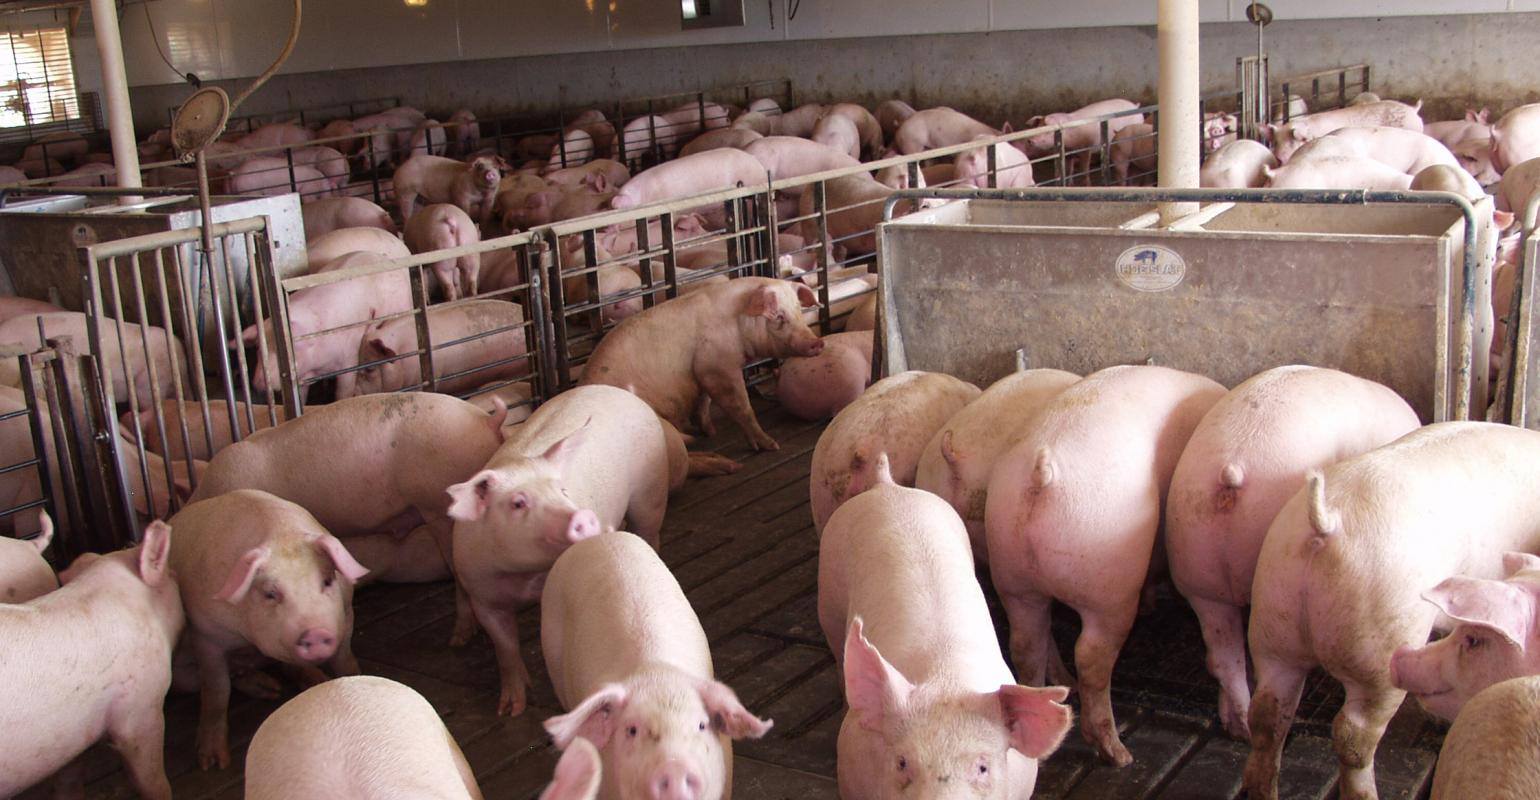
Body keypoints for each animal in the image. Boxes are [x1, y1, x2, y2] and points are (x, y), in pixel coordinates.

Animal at [0, 521, 181, 799]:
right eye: (171, 576)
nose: (177, 574)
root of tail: (29, 544)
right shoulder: (141, 706)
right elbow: (151, 779)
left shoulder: (68, 740)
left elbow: (69, 778)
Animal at [167, 489, 369, 769]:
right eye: (270, 593)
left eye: (327, 580)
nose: (315, 632)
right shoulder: (205, 635)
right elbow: (217, 690)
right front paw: (213, 763)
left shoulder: (347, 614)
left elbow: (345, 661)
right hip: (179, 676)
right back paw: (269, 690)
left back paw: (302, 683)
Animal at [449, 385, 673, 715]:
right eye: (518, 503)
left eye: (562, 491)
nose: (583, 515)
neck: (523, 576)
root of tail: (622, 391)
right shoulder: (482, 592)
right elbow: (504, 645)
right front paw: (511, 709)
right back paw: (460, 639)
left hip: (651, 491)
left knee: (649, 529)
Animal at [580, 278, 822, 452]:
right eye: (779, 317)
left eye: (799, 311)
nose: (817, 343)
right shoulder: (717, 365)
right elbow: (740, 406)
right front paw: (770, 445)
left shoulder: (700, 371)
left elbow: (703, 401)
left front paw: (710, 432)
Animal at [986, 365, 1224, 766]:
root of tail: (1041, 472)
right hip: (1108, 579)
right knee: (1092, 657)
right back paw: (1118, 754)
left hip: (1013, 574)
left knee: (1026, 643)